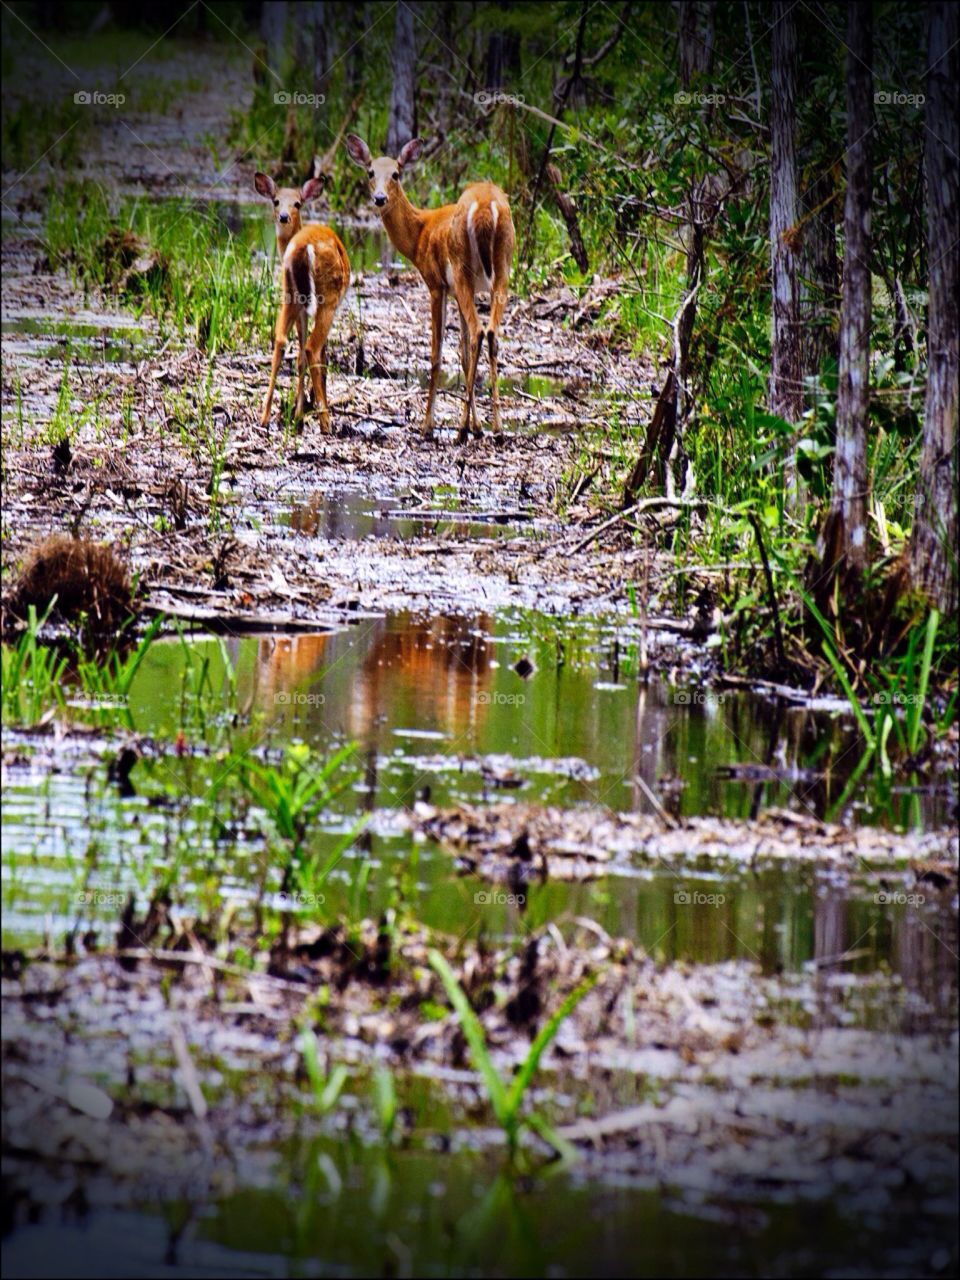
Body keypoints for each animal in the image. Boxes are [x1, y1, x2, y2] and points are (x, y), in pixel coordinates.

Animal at [254, 171, 350, 432]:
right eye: (276, 201)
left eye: (297, 203)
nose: (284, 216)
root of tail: (302, 246)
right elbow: (321, 355)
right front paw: (308, 404)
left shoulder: (302, 311)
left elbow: (298, 357)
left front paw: (299, 409)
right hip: (327, 297)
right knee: (312, 348)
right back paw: (325, 421)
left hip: (289, 293)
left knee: (280, 340)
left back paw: (267, 416)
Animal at [344, 135, 514, 443]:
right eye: (370, 172)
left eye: (396, 174)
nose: (379, 198)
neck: (420, 233)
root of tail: (486, 207)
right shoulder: (461, 291)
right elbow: (463, 355)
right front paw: (477, 425)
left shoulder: (436, 284)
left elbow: (436, 355)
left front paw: (428, 426)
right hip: (502, 267)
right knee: (491, 333)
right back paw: (495, 428)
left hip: (461, 267)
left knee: (478, 331)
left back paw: (461, 430)